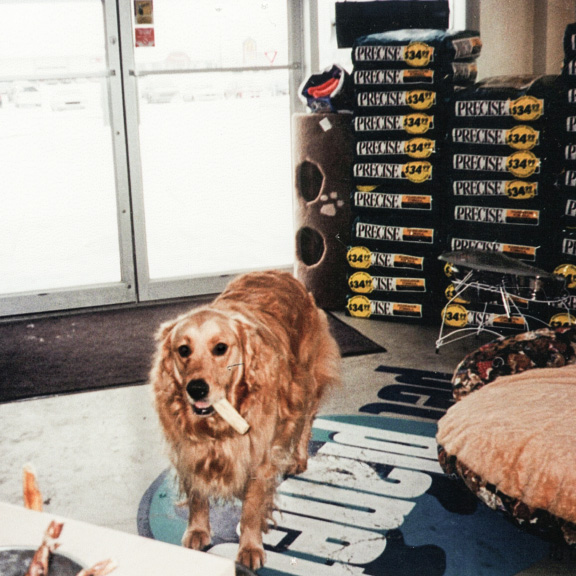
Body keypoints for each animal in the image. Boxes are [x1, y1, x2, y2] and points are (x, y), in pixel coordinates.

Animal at [151, 272, 342, 572]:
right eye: (183, 350)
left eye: (220, 348)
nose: (197, 389)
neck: (217, 428)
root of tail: (285, 274)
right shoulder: (188, 452)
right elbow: (197, 496)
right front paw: (197, 531)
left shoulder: (259, 457)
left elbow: (252, 509)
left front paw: (250, 547)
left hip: (306, 383)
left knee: (305, 422)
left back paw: (298, 458)